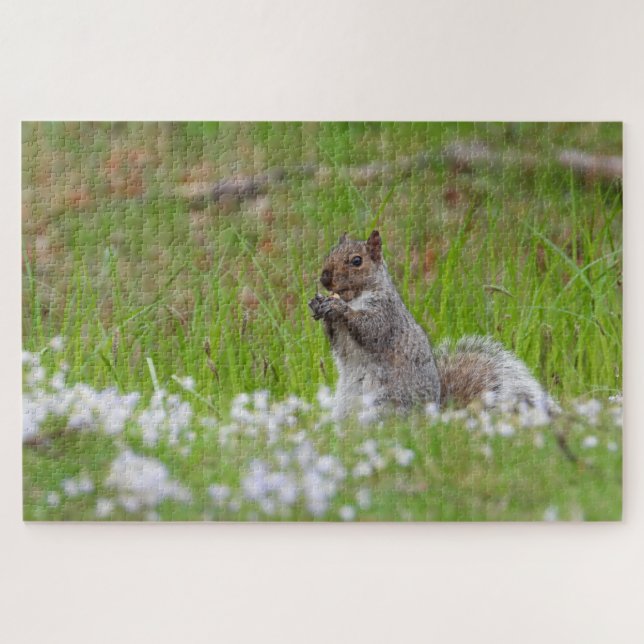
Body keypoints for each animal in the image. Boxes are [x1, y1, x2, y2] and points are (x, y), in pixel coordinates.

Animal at [309, 230, 558, 418]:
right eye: (331, 252)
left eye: (356, 261)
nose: (324, 277)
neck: (355, 296)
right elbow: (337, 341)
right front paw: (318, 304)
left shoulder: (386, 314)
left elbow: (371, 329)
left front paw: (338, 308)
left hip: (384, 403)